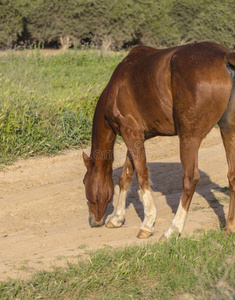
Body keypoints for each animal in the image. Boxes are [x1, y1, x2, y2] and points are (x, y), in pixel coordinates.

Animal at [82, 41, 235, 239]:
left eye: (85, 181)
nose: (93, 221)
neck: (114, 90)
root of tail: (225, 56)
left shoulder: (131, 133)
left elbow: (142, 177)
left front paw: (147, 223)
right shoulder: (136, 136)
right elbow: (125, 177)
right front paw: (117, 217)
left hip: (189, 137)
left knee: (190, 179)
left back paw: (173, 229)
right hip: (228, 130)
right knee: (232, 176)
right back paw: (229, 228)